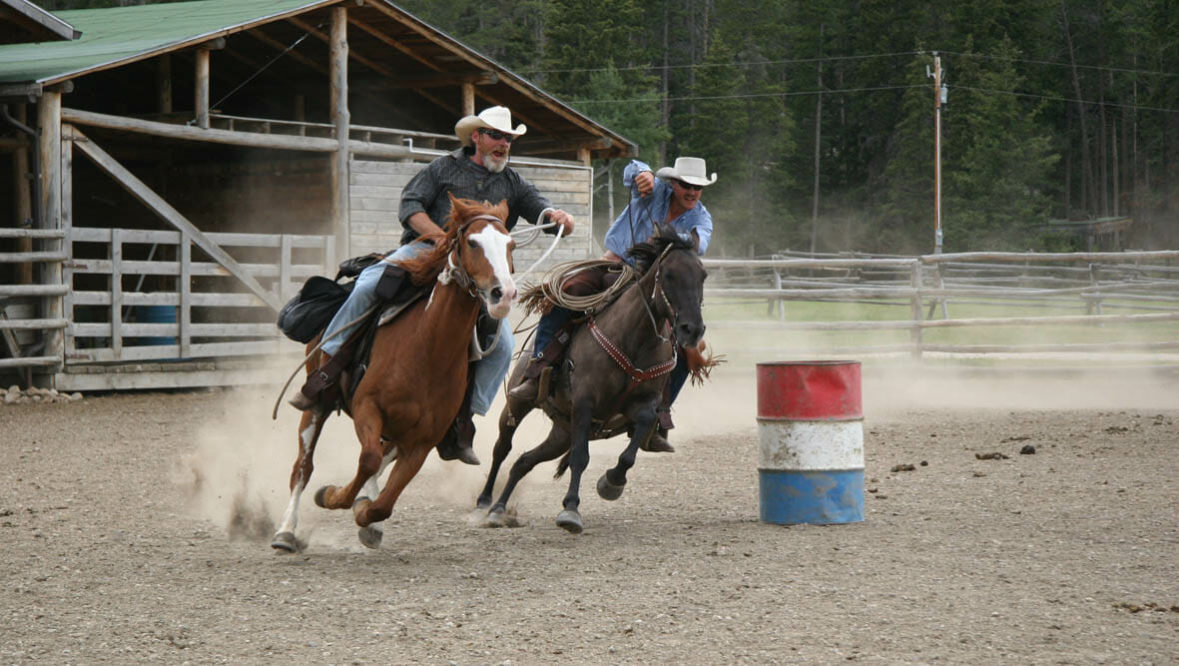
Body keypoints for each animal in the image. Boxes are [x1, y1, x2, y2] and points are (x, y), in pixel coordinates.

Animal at [275, 193, 521, 551]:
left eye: (510, 244)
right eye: (473, 242)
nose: (503, 295)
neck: (427, 350)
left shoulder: (422, 443)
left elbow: (384, 503)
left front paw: (366, 514)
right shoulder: (367, 407)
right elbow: (367, 460)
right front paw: (331, 496)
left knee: (380, 456)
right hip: (317, 404)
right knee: (303, 467)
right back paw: (285, 531)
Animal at [473, 226, 702, 532]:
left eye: (703, 275)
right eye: (668, 274)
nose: (692, 329)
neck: (634, 340)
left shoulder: (644, 404)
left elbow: (632, 446)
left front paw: (612, 482)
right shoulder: (584, 402)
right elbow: (580, 458)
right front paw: (571, 510)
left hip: (561, 432)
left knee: (524, 461)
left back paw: (500, 509)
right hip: (518, 404)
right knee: (502, 448)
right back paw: (485, 500)